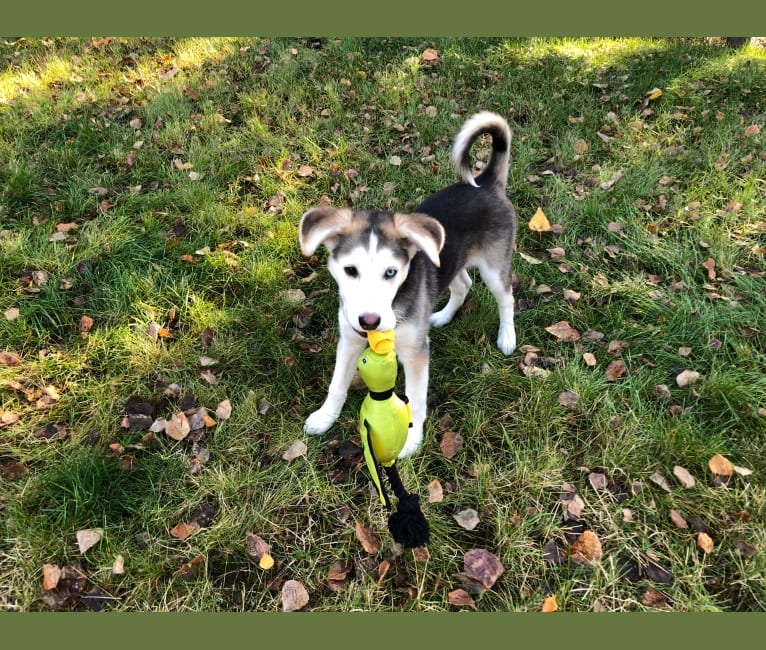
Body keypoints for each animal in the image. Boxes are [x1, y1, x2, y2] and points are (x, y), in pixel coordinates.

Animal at [296, 110, 520, 456]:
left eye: (391, 273)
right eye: (350, 270)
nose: (369, 321)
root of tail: (485, 183)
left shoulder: (416, 353)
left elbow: (415, 400)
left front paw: (412, 441)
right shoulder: (349, 340)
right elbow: (336, 385)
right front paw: (324, 417)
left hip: (494, 267)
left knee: (506, 297)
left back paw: (507, 336)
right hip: (447, 261)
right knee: (463, 284)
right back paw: (440, 316)